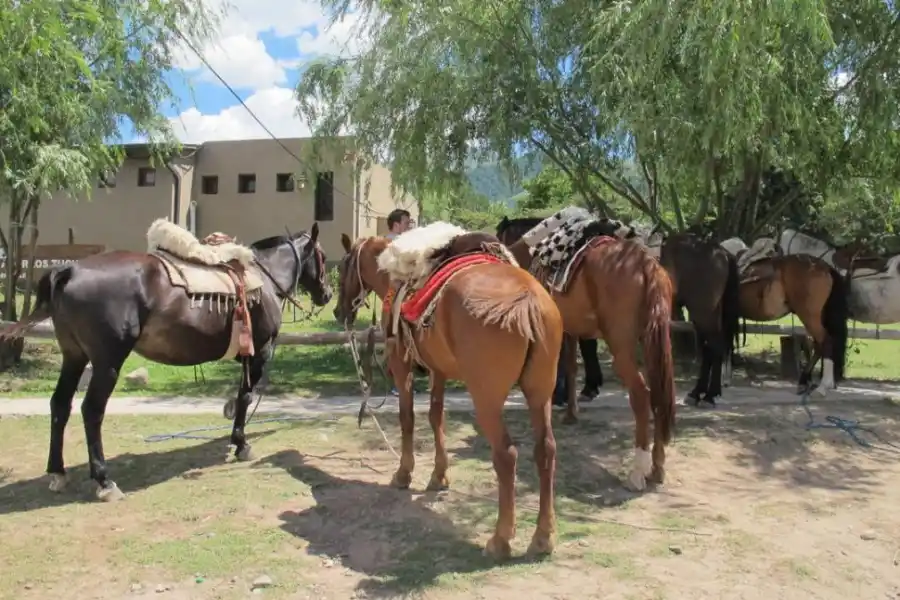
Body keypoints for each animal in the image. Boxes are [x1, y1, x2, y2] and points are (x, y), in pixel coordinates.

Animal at [0, 220, 332, 501]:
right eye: (323, 256)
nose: (327, 294)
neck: (263, 279)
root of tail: (71, 271)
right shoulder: (260, 351)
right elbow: (246, 396)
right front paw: (241, 444)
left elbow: (240, 396)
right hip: (107, 363)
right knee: (91, 410)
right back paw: (104, 481)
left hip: (74, 356)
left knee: (60, 404)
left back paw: (57, 472)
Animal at [635, 227, 742, 409]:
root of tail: (721, 251)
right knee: (709, 348)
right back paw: (699, 393)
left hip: (703, 313)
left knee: (714, 345)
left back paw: (708, 396)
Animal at [721, 236, 849, 394]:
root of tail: (825, 267)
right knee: (819, 345)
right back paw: (806, 381)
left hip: (809, 316)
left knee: (825, 342)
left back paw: (822, 386)